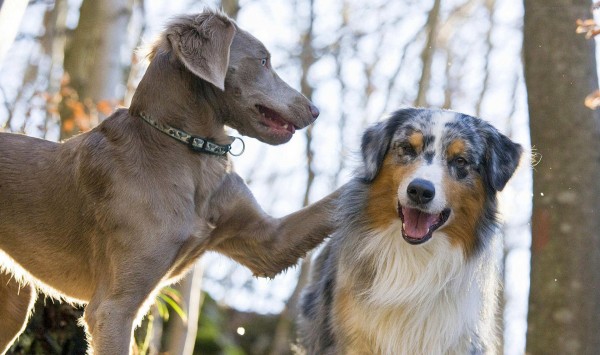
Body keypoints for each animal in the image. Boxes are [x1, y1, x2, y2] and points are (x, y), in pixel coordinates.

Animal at [0, 9, 338, 354]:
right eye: (263, 61)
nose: (315, 111)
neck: (186, 149)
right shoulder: (113, 307)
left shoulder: (267, 242)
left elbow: (332, 204)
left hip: (13, 305)